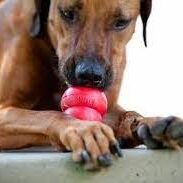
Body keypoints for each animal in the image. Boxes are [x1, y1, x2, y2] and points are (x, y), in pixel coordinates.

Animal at [0, 0, 183, 169]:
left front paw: (151, 122)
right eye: (68, 13)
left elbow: (127, 115)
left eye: (121, 22)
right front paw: (82, 129)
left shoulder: (109, 104)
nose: (89, 74)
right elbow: (49, 115)